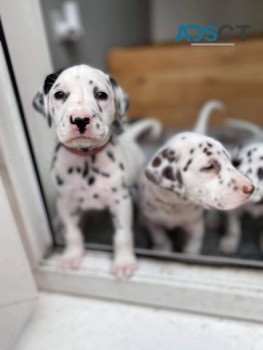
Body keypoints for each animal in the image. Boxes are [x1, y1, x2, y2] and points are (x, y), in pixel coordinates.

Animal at [33, 64, 161, 280]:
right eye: (59, 94)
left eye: (101, 95)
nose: (80, 119)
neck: (86, 160)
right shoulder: (65, 202)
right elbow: (72, 232)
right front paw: (72, 256)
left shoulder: (120, 201)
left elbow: (122, 234)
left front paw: (124, 262)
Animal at [139, 101, 255, 254]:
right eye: (209, 167)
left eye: (230, 161)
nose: (251, 188)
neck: (175, 205)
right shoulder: (153, 223)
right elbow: (161, 239)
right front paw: (163, 249)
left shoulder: (196, 227)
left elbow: (192, 247)